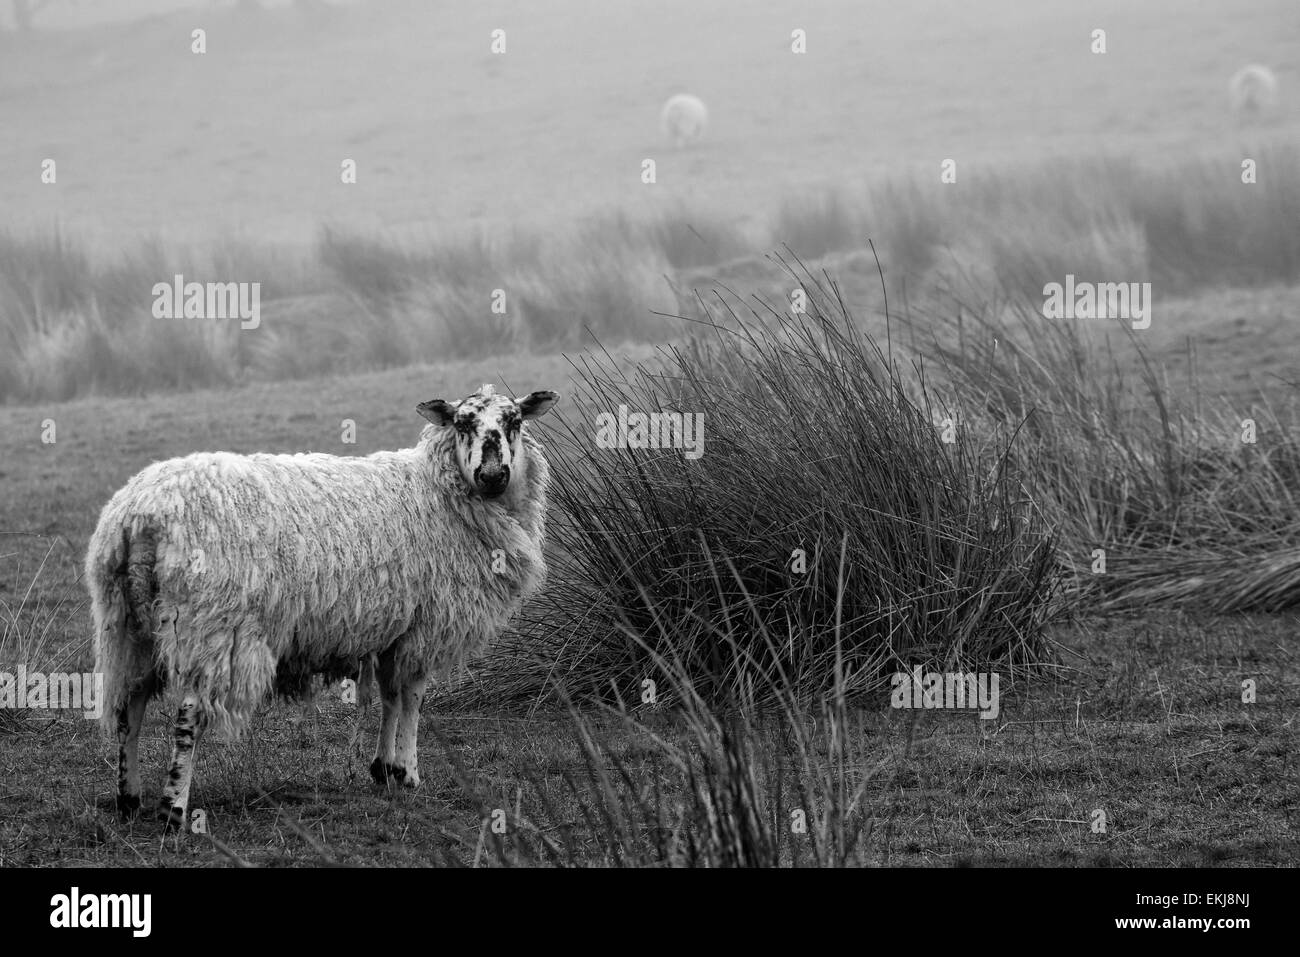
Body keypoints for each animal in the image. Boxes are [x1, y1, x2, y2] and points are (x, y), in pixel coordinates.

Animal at [90, 382, 559, 832]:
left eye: (514, 421)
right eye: (462, 424)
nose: (493, 474)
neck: (439, 491)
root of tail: (141, 516)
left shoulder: (394, 628)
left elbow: (390, 697)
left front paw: (384, 768)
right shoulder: (425, 627)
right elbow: (412, 698)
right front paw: (409, 772)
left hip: (128, 626)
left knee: (128, 708)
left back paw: (129, 798)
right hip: (210, 626)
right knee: (186, 718)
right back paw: (173, 809)